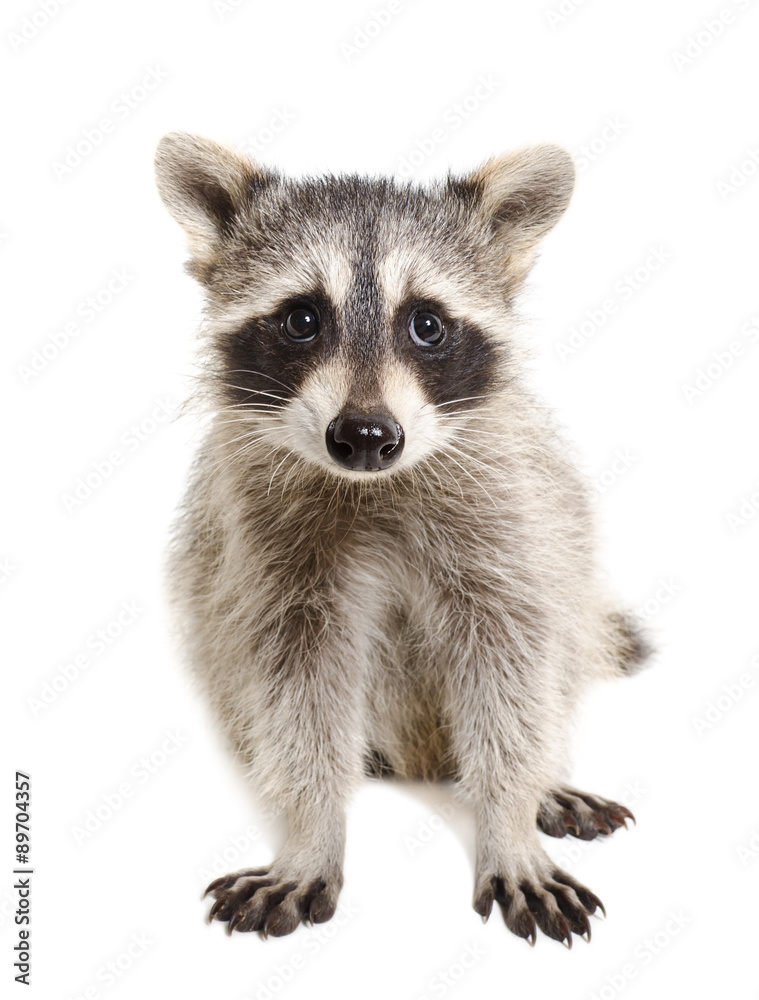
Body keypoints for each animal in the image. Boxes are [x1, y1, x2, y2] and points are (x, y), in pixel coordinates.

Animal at [156, 131, 652, 944]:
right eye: (301, 320)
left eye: (426, 324)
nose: (363, 436)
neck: (372, 485)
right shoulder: (265, 549)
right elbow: (295, 682)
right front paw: (310, 828)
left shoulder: (505, 516)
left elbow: (513, 656)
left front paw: (510, 817)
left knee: (560, 641)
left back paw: (542, 778)